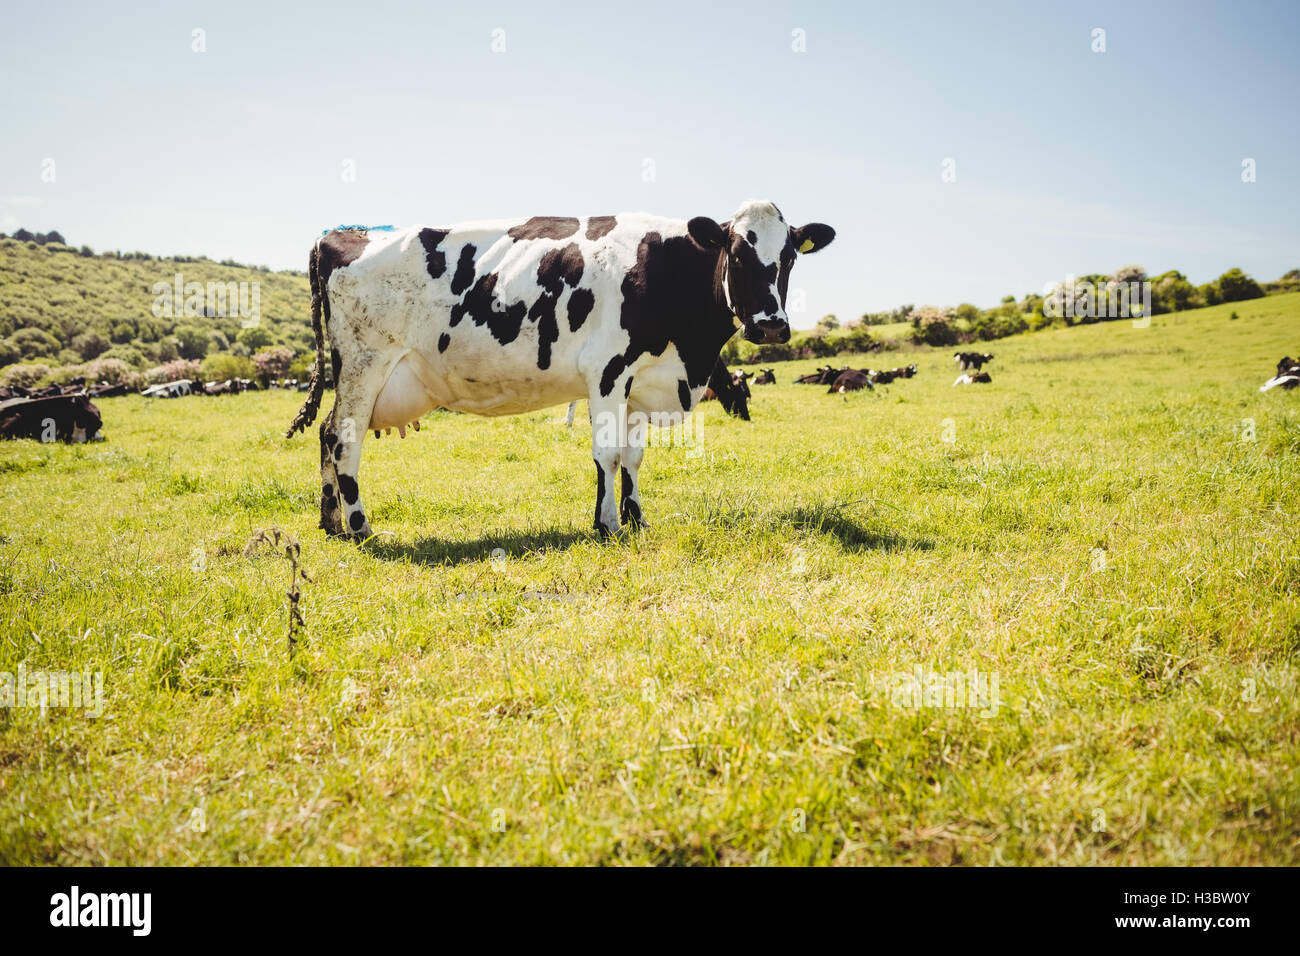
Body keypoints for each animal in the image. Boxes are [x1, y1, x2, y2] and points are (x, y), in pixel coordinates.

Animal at [286, 200, 835, 539]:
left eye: (789, 256)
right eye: (738, 252)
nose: (771, 327)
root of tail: (340, 233)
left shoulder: (642, 381)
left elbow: (633, 458)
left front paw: (637, 519)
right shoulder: (608, 369)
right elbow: (607, 454)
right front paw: (607, 524)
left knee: (327, 433)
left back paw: (331, 524)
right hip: (365, 364)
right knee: (344, 439)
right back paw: (360, 527)